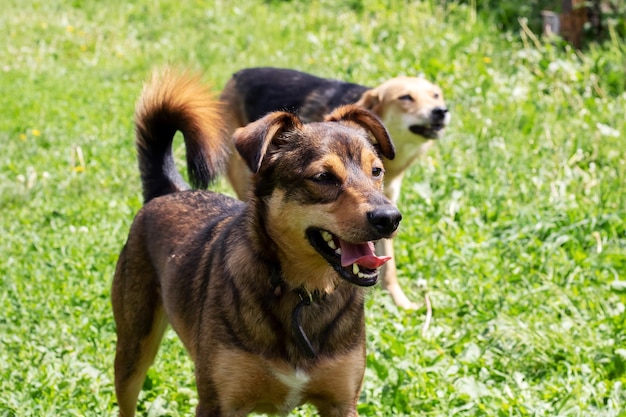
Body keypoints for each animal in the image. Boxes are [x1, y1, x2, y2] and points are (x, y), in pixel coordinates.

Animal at [111, 70, 400, 414]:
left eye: (377, 171)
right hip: (132, 352)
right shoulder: (218, 404)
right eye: (323, 177)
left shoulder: (342, 403)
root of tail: (171, 191)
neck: (303, 292)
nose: (390, 218)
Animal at [219, 67, 448, 308]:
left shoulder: (388, 200)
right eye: (406, 97)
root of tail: (240, 72)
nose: (441, 111)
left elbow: (389, 266)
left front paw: (400, 301)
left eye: (376, 171)